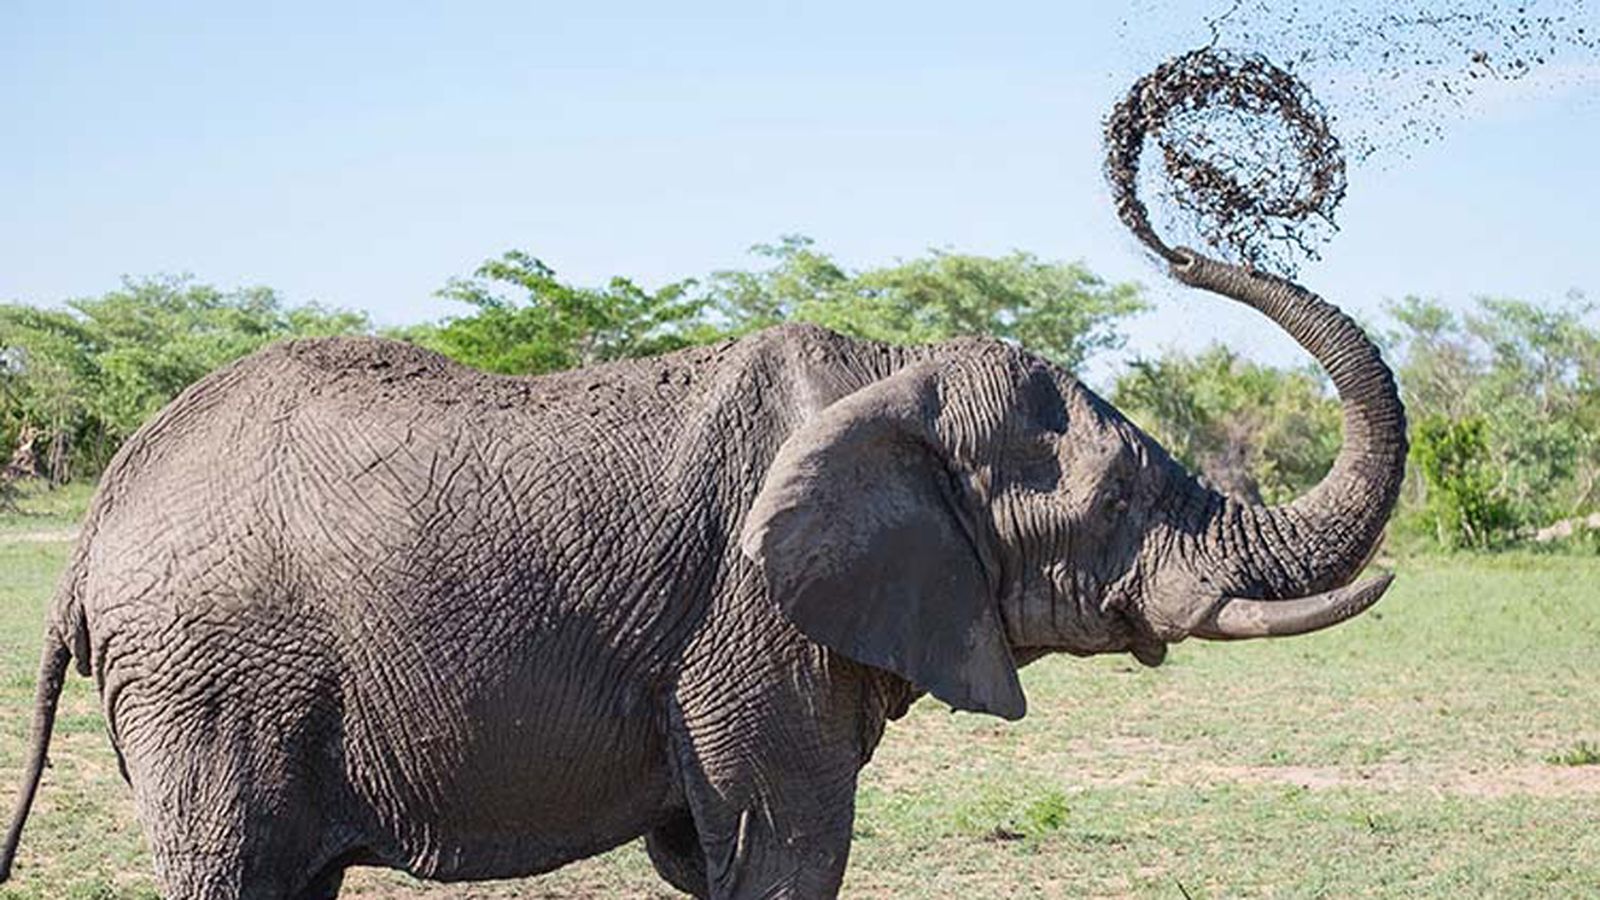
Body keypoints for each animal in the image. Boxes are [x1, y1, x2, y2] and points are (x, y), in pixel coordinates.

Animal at [0, 246, 1404, 899]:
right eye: (1112, 502)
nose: (1174, 244)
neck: (890, 375)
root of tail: (96, 523)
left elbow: (716, 855)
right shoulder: (747, 623)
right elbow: (789, 849)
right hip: (209, 680)